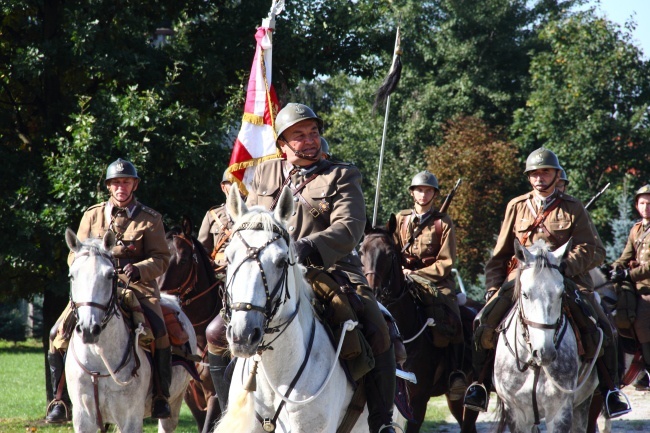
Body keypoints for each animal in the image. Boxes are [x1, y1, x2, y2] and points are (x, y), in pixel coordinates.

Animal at [63, 228, 196, 430]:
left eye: (110, 275)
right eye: (72, 275)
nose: (88, 329)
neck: (99, 361)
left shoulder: (130, 419)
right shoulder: (83, 419)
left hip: (175, 403)